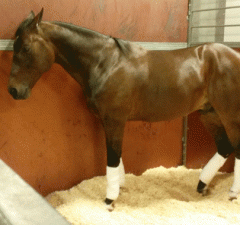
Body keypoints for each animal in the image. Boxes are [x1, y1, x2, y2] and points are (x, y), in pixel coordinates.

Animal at [8, 8, 240, 209]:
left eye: (26, 47)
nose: (13, 90)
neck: (106, 63)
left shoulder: (115, 120)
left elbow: (112, 158)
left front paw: (110, 200)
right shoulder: (107, 121)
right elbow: (117, 157)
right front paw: (119, 188)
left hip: (229, 114)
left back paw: (232, 193)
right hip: (209, 113)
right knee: (224, 148)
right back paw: (201, 185)